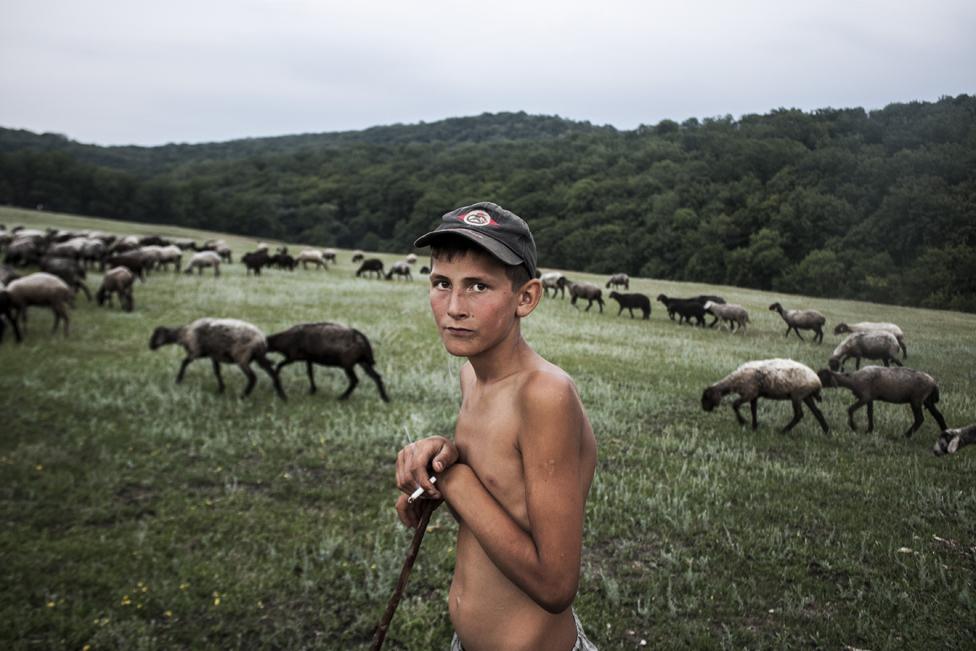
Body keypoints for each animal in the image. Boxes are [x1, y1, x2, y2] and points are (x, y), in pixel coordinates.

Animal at [700, 360, 832, 436]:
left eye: (706, 398)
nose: (704, 409)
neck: (734, 382)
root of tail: (817, 381)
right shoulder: (754, 395)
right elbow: (753, 410)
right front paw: (754, 426)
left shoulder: (749, 392)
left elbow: (735, 404)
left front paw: (743, 421)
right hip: (806, 396)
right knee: (817, 412)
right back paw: (827, 432)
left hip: (797, 395)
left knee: (799, 414)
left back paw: (783, 431)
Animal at [816, 366, 944, 438]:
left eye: (821, 376)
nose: (814, 382)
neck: (852, 379)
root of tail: (934, 383)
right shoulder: (870, 398)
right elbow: (870, 413)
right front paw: (869, 430)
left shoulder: (865, 396)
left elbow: (850, 409)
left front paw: (854, 427)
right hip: (927, 400)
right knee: (938, 415)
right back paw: (945, 434)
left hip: (916, 399)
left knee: (920, 419)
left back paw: (905, 436)